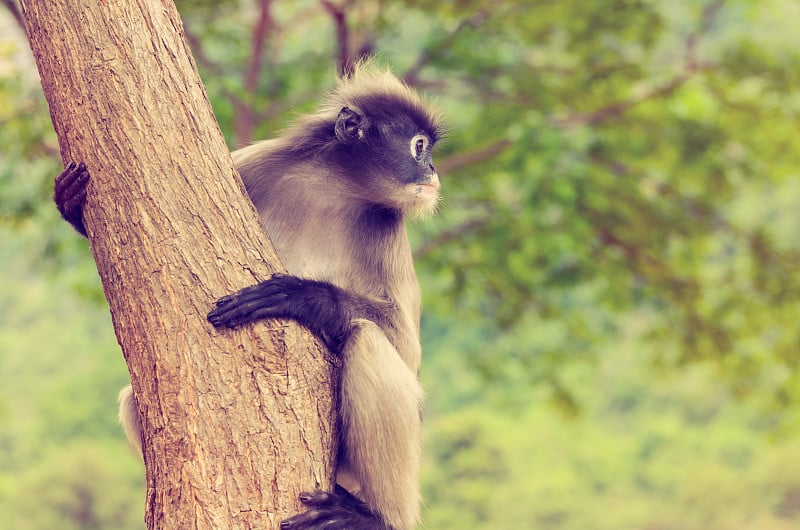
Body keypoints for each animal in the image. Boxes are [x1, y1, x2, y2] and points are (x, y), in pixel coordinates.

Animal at [56, 63, 444, 528]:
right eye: (418, 147)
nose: (433, 169)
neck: (334, 187)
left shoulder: (389, 225)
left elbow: (407, 348)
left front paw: (304, 296)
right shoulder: (259, 162)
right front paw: (72, 205)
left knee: (367, 338)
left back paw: (376, 517)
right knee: (134, 396)